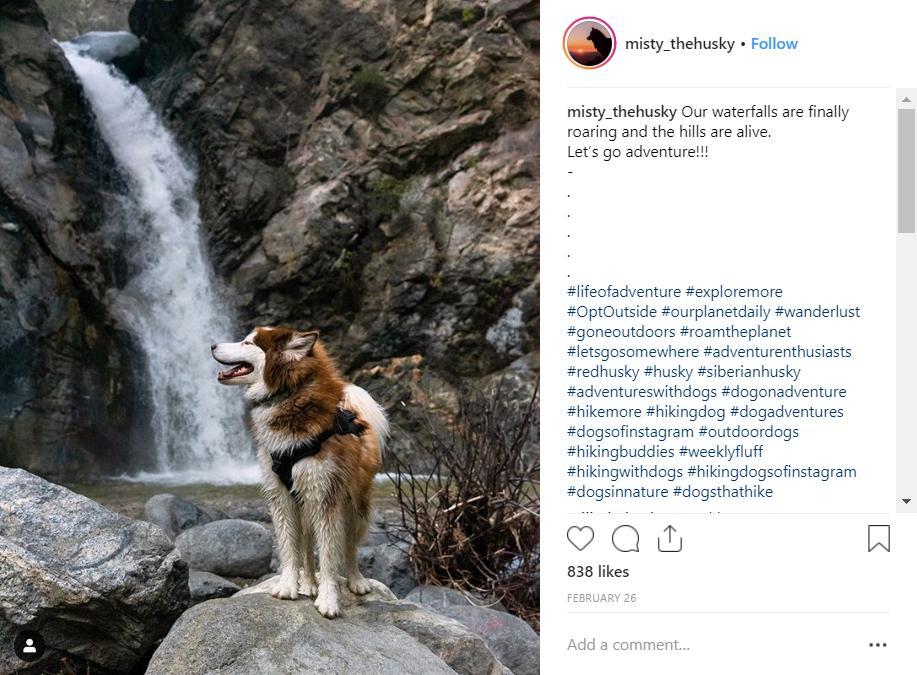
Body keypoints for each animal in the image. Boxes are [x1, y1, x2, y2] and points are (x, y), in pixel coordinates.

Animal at [211, 328, 386, 616]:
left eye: (248, 342)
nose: (212, 345)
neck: (288, 395)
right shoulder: (280, 497)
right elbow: (289, 548)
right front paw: (289, 585)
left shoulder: (325, 497)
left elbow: (329, 555)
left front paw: (328, 599)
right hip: (304, 508)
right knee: (306, 545)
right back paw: (309, 583)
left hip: (354, 507)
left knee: (350, 547)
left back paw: (356, 580)